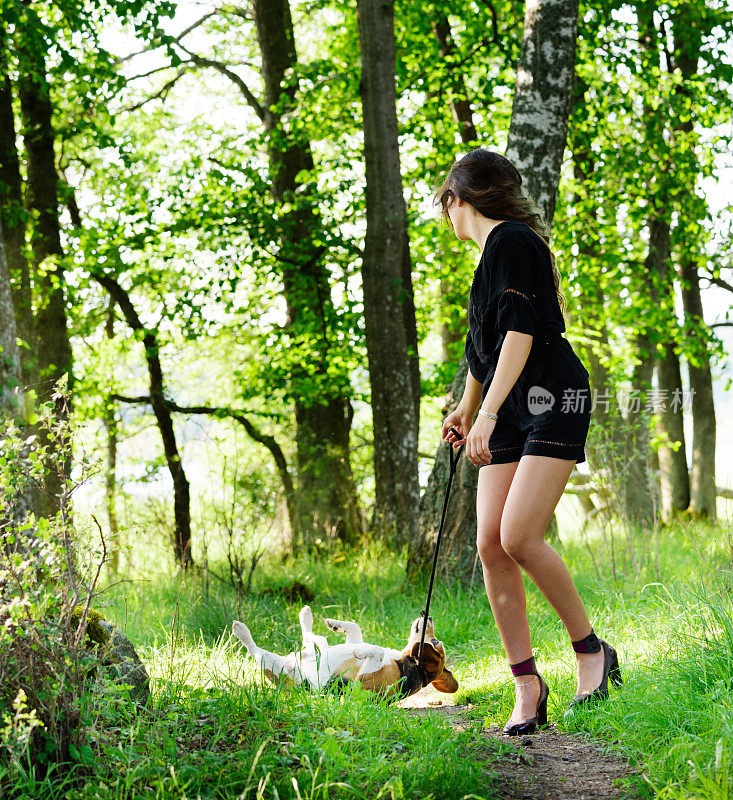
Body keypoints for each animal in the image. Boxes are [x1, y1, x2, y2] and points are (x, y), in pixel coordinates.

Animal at [230, 608, 458, 700]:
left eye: (435, 643)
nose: (429, 616)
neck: (405, 663)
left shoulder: (361, 684)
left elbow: (374, 651)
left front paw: (360, 651)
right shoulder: (355, 638)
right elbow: (355, 628)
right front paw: (337, 625)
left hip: (270, 663)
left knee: (254, 649)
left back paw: (241, 630)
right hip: (313, 649)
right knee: (312, 639)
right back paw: (307, 616)